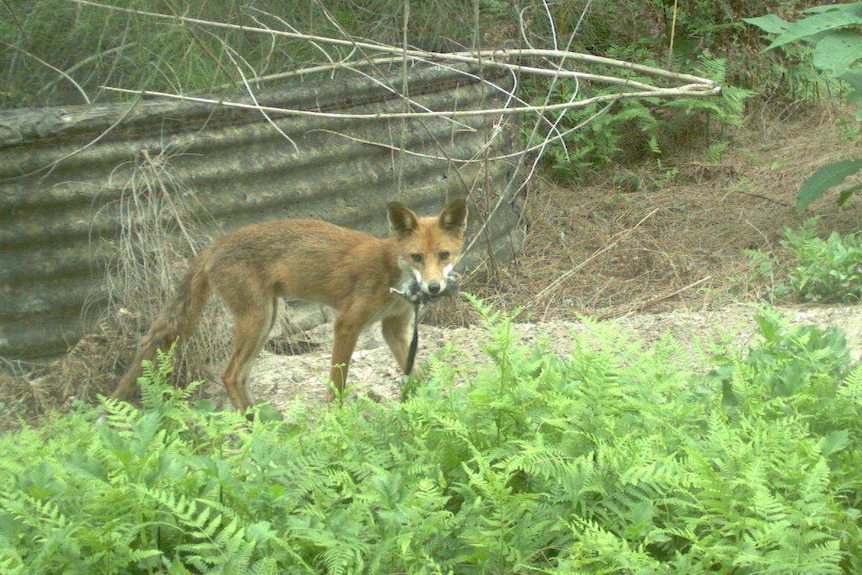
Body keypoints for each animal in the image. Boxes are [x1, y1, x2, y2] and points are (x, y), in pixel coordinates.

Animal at [113, 200, 472, 412]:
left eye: (444, 255)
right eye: (416, 257)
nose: (434, 288)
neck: (391, 271)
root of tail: (215, 244)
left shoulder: (394, 328)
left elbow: (417, 374)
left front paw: (429, 407)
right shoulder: (347, 323)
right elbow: (337, 384)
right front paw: (336, 420)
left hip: (265, 322)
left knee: (240, 377)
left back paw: (260, 422)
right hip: (256, 321)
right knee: (228, 375)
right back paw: (249, 428)